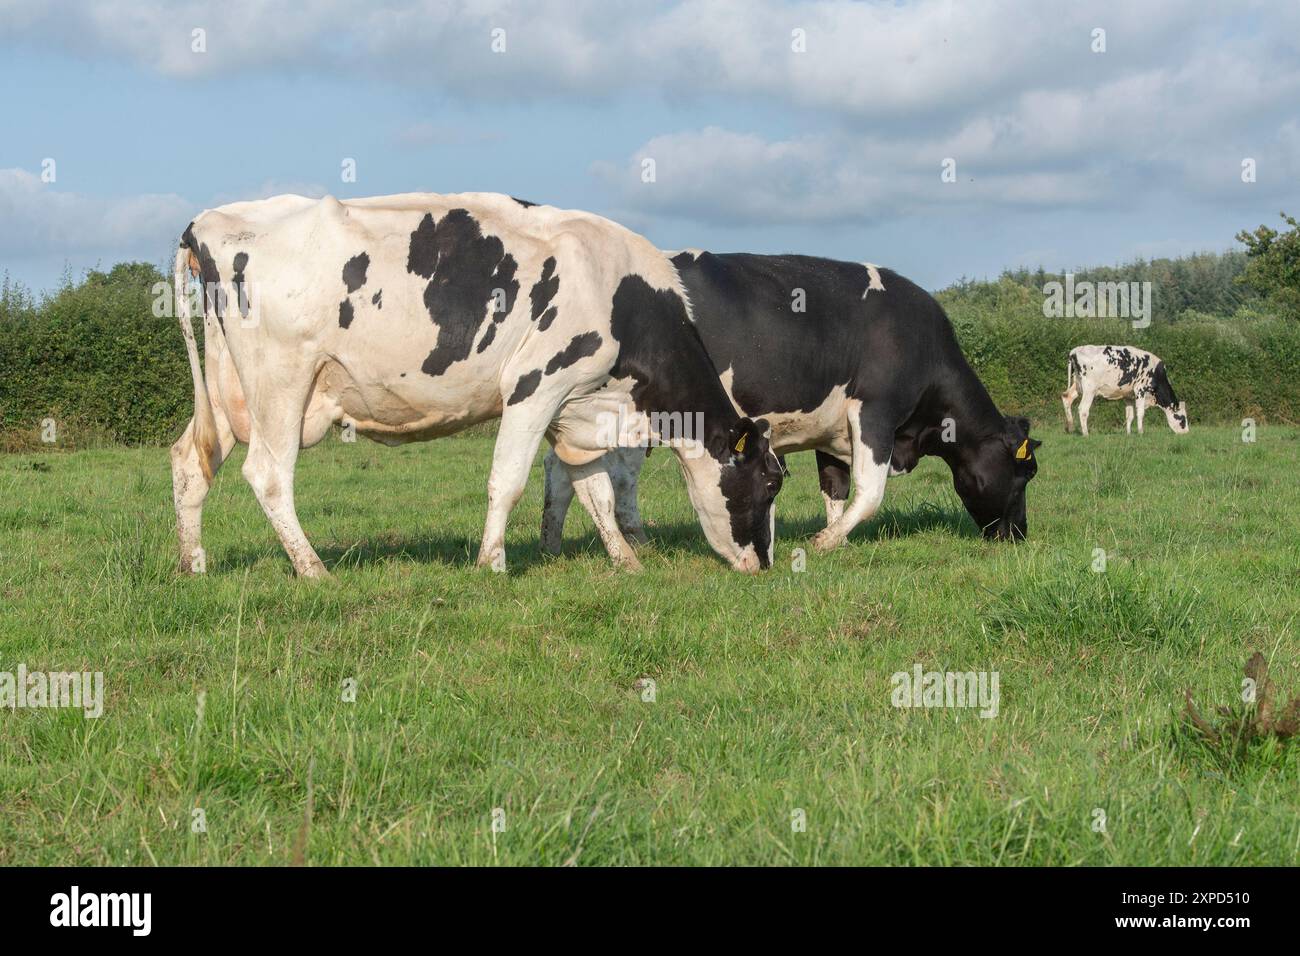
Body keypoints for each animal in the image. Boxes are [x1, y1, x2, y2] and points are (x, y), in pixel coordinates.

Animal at [171, 191, 780, 574]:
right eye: (770, 483)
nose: (765, 564)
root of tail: (210, 220)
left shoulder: (575, 409)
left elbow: (595, 491)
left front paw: (627, 563)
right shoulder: (537, 386)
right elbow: (507, 481)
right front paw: (492, 563)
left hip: (228, 388)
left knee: (190, 462)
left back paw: (193, 565)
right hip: (281, 381)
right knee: (268, 475)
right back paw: (314, 568)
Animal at [543, 251, 1040, 556]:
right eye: (1026, 473)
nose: (1019, 536)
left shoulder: (834, 427)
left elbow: (836, 486)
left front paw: (835, 538)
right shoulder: (875, 413)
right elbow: (871, 491)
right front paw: (823, 543)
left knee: (562, 473)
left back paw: (555, 542)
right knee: (613, 479)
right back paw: (631, 545)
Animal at [1055, 343, 1190, 437]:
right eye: (1183, 419)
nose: (1187, 433)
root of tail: (1074, 351)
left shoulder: (1128, 396)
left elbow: (1129, 415)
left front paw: (1129, 434)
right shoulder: (1140, 390)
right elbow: (1140, 413)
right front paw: (1141, 432)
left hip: (1077, 385)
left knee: (1067, 397)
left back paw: (1071, 428)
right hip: (1089, 389)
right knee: (1083, 409)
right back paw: (1086, 433)